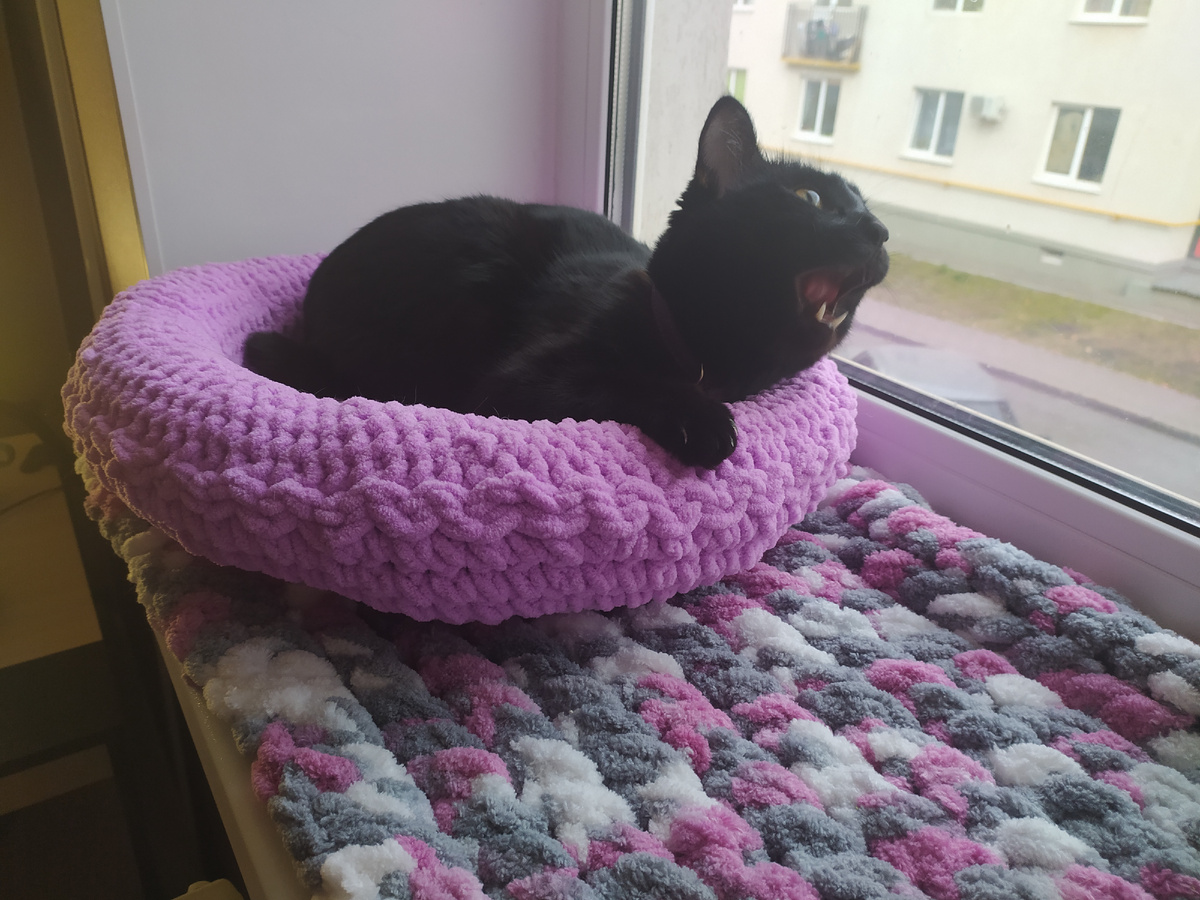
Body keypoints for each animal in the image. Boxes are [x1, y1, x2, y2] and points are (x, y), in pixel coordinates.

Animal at [243, 96, 889, 468]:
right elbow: (622, 382)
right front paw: (701, 422)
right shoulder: (516, 382)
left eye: (865, 205)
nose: (881, 231)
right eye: (810, 198)